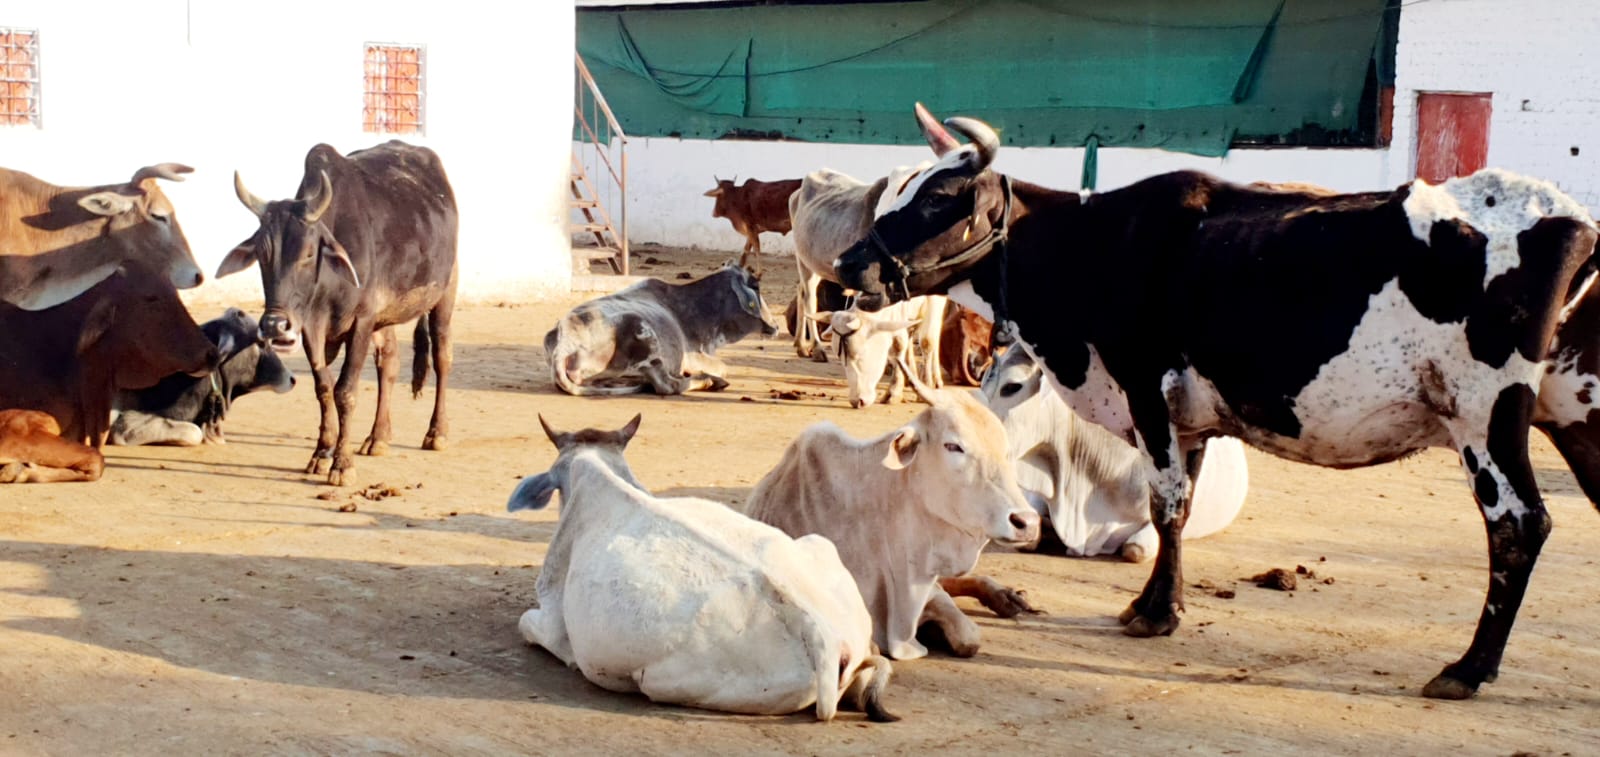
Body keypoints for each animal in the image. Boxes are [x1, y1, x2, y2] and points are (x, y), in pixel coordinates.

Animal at [218, 141, 458, 486]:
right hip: (384, 319)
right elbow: (323, 388)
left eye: (308, 253)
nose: (275, 324)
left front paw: (342, 464)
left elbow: (345, 391)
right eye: (262, 254)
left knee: (441, 357)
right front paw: (321, 454)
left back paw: (436, 433)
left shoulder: (361, 321)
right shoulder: (312, 328)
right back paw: (377, 437)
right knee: (389, 362)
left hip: (445, 292)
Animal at [545, 263, 778, 396]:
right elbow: (722, 366)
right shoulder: (691, 356)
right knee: (668, 385)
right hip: (645, 335)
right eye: (756, 287)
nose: (776, 325)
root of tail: (566, 338)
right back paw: (709, 381)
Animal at [746, 361, 1041, 660]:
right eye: (953, 446)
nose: (1027, 522)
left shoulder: (927, 588)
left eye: (1005, 449)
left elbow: (968, 636)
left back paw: (1007, 596)